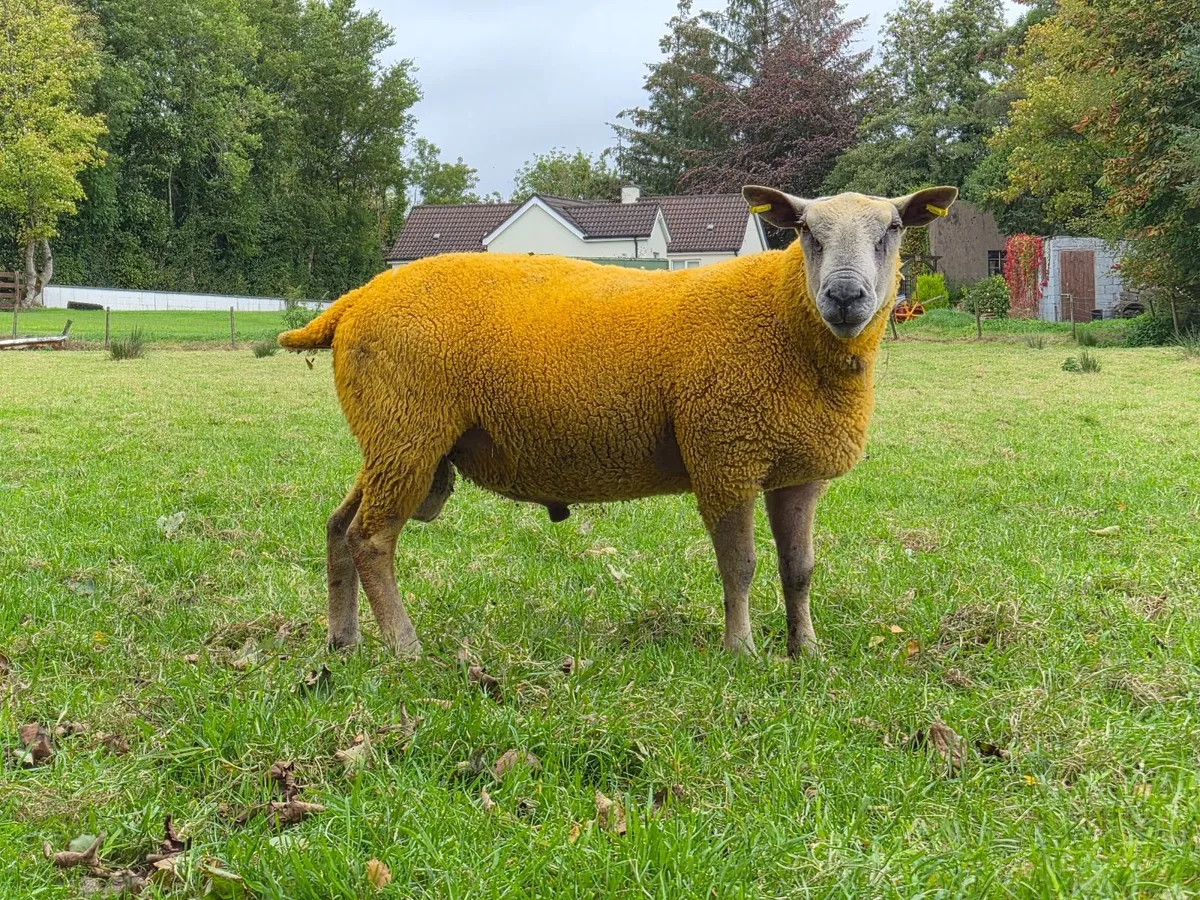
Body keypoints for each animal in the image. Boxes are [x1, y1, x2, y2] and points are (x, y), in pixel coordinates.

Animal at [279, 185, 958, 659]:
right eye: (807, 232)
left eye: (893, 228)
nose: (844, 297)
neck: (786, 325)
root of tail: (353, 301)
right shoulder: (724, 456)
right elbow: (739, 566)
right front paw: (741, 651)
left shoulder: (797, 471)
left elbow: (800, 570)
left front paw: (806, 651)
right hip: (407, 433)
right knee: (372, 540)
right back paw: (405, 647)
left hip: (391, 441)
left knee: (340, 528)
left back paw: (344, 641)